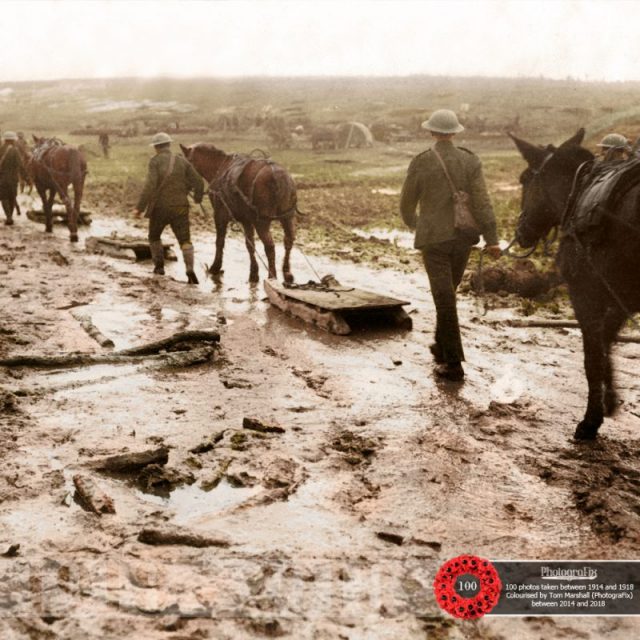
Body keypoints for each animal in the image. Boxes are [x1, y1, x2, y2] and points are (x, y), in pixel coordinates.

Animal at [181, 145, 298, 284]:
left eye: (187, 163)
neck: (220, 167)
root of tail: (277, 175)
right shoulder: (246, 220)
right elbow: (250, 245)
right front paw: (254, 273)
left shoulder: (220, 215)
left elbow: (220, 241)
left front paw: (215, 267)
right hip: (287, 218)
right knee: (288, 241)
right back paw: (287, 273)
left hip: (262, 222)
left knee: (269, 246)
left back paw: (272, 276)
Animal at [510, 129, 640, 440]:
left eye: (525, 179)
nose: (521, 232)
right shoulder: (624, 297)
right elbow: (606, 339)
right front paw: (610, 399)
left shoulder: (586, 296)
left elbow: (592, 358)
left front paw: (591, 420)